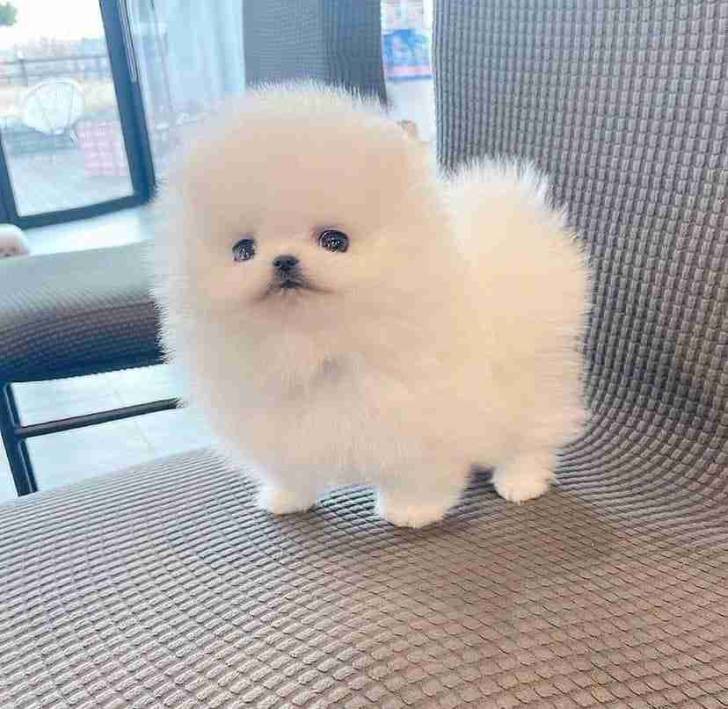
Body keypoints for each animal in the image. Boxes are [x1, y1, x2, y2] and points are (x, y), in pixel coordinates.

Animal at [152, 84, 589, 528]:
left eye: (335, 241)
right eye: (243, 250)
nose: (283, 260)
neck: (317, 343)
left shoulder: (426, 420)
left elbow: (420, 472)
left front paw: (412, 510)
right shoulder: (278, 424)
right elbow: (290, 467)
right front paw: (286, 498)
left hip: (528, 383)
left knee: (533, 435)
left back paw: (520, 481)